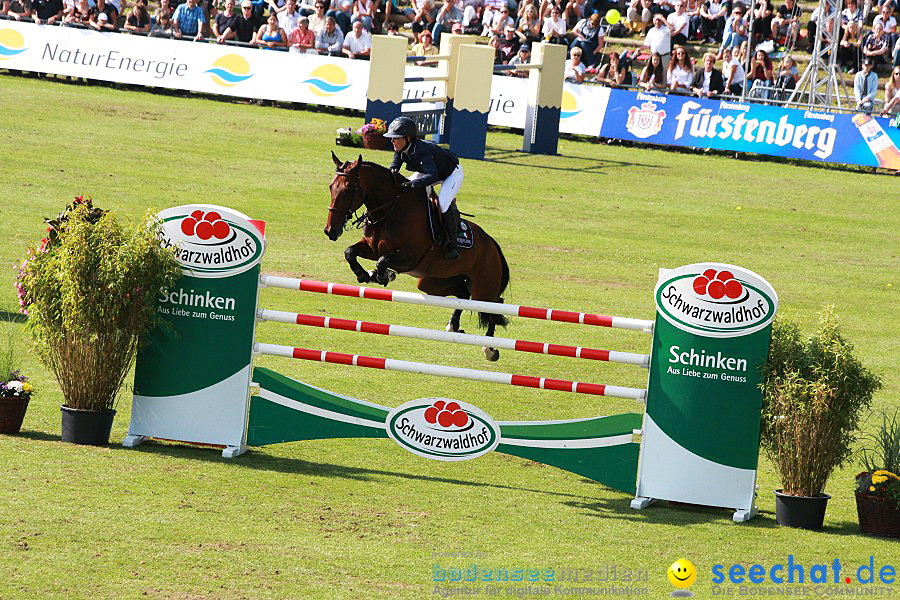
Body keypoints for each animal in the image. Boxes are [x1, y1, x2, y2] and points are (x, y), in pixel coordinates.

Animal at [326, 154, 510, 360]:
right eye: (331, 187)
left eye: (348, 189)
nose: (330, 231)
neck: (391, 209)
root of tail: (492, 243)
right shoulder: (372, 248)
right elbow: (350, 253)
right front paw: (366, 275)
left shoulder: (410, 258)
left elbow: (383, 261)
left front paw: (382, 276)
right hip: (433, 283)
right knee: (463, 294)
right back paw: (453, 326)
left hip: (483, 287)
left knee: (494, 305)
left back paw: (490, 349)